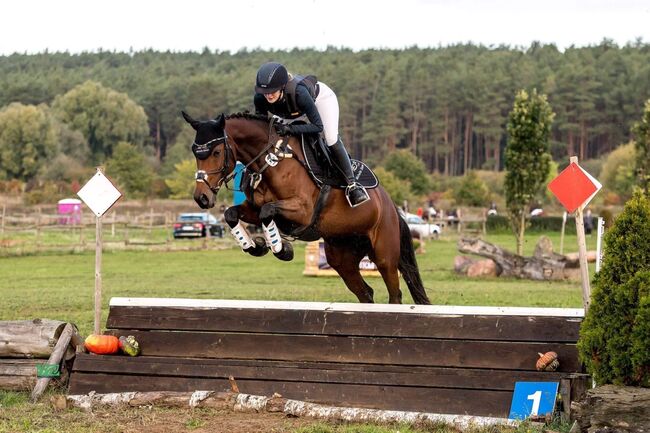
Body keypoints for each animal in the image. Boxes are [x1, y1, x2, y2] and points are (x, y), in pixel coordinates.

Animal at [180, 111, 428, 304]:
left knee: (394, 293)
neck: (272, 161)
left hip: (384, 254)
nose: (201, 198)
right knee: (365, 292)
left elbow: (268, 211)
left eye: (216, 152)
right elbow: (232, 213)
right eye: (195, 152)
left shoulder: (302, 211)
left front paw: (281, 249)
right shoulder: (252, 208)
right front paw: (254, 246)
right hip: (342, 257)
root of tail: (391, 206)